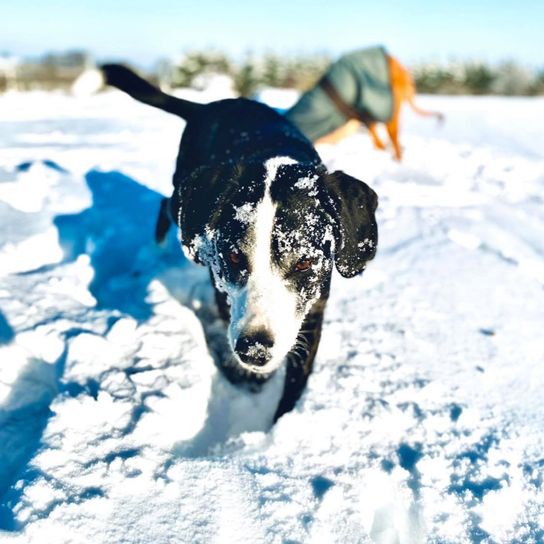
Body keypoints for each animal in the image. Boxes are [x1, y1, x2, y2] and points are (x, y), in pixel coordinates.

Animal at [95, 65, 376, 420]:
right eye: (233, 257)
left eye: (304, 262)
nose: (254, 349)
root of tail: (208, 106)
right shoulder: (219, 283)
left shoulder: (315, 307)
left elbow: (296, 382)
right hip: (183, 196)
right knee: (165, 205)